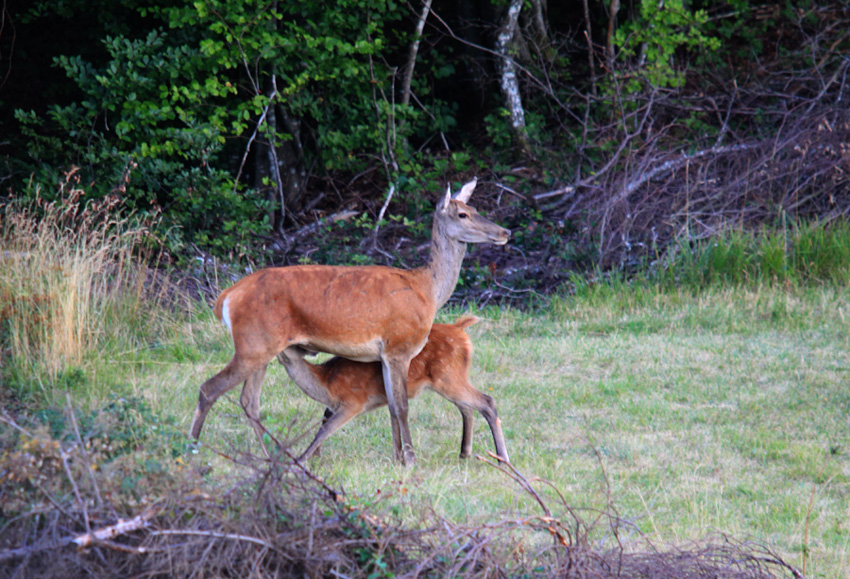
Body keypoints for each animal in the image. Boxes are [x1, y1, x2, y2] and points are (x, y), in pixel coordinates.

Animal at [274, 318, 506, 462]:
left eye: (289, 341)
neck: (326, 383)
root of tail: (460, 330)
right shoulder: (334, 405)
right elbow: (323, 420)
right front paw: (316, 456)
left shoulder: (353, 401)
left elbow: (326, 428)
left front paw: (301, 458)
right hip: (451, 378)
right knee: (467, 408)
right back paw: (464, 454)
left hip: (448, 376)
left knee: (487, 401)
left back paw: (502, 458)